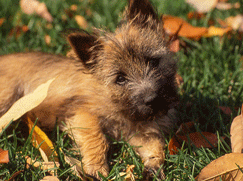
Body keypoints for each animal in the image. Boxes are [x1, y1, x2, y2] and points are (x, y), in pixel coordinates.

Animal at [0, 0, 178, 179]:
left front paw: (153, 168)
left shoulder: (143, 132)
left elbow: (156, 147)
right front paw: (97, 167)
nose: (152, 99)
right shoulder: (83, 115)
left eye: (153, 62)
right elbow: (96, 138)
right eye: (120, 78)